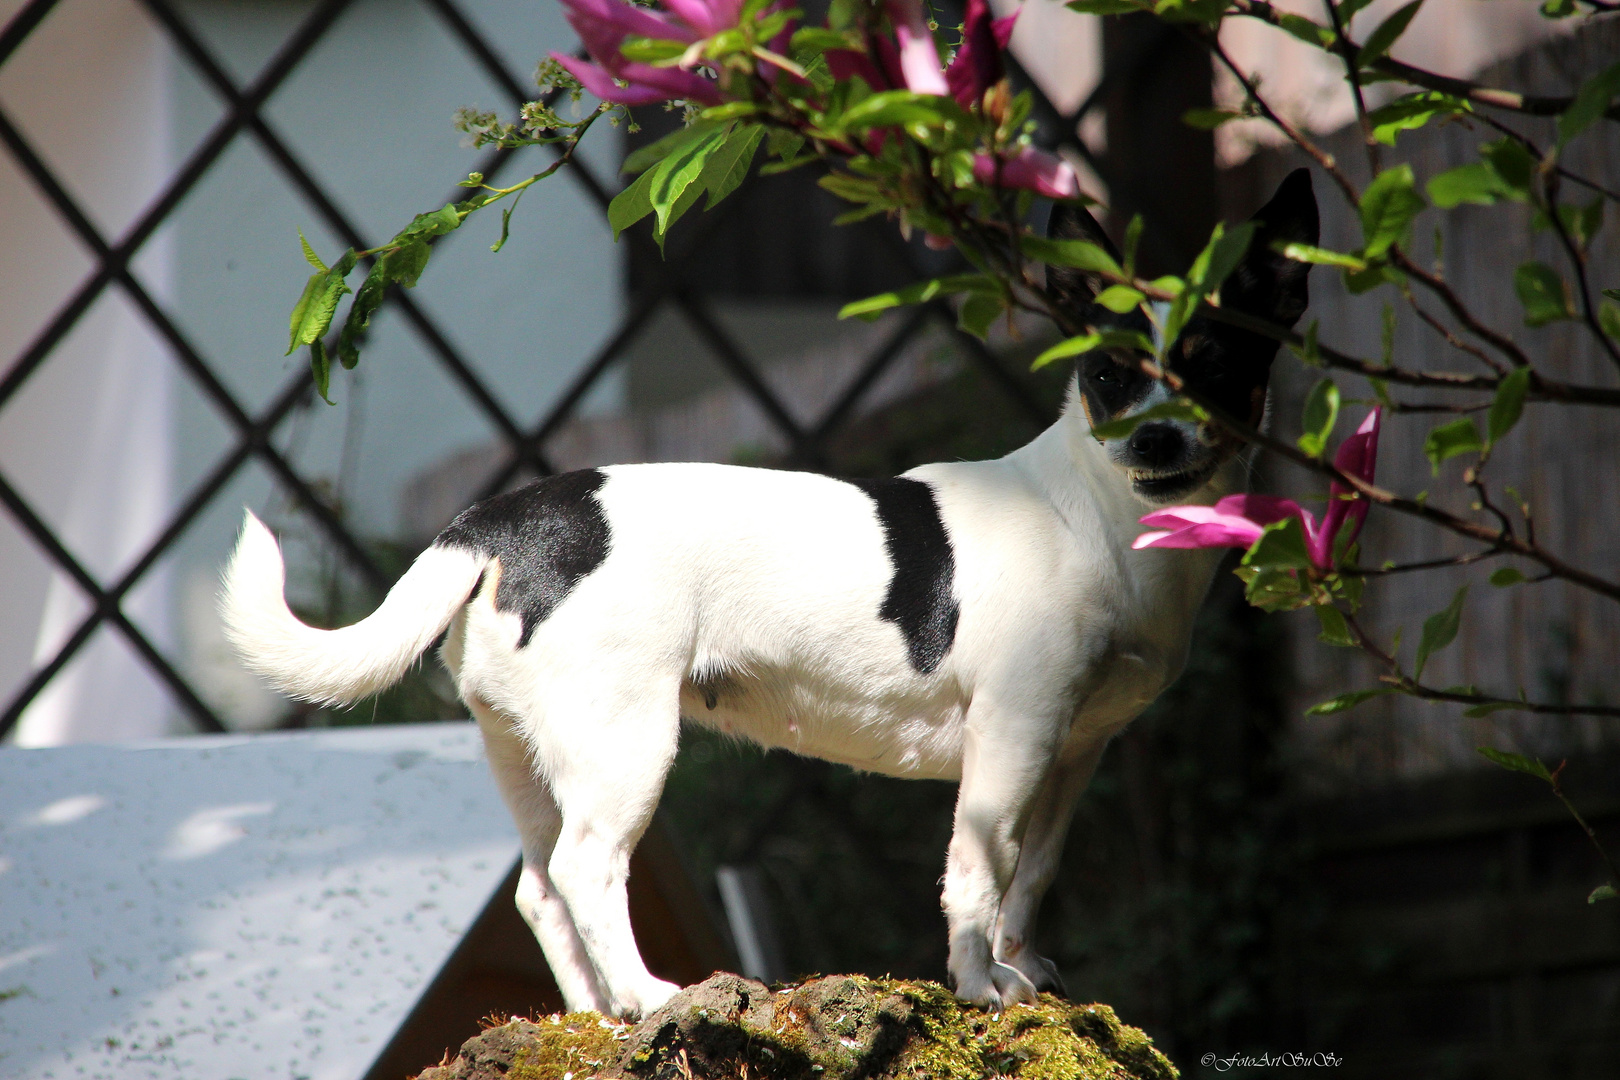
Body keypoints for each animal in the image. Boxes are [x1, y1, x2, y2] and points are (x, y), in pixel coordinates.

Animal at [225, 170, 1315, 1023]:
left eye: (1217, 368)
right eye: (1110, 375)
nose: (1156, 439)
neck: (1101, 514)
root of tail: (498, 519)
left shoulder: (1072, 751)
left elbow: (1031, 871)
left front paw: (1024, 969)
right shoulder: (1013, 736)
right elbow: (977, 871)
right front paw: (979, 985)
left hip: (526, 754)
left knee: (538, 893)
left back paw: (596, 1014)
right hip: (627, 745)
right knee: (586, 870)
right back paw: (651, 996)